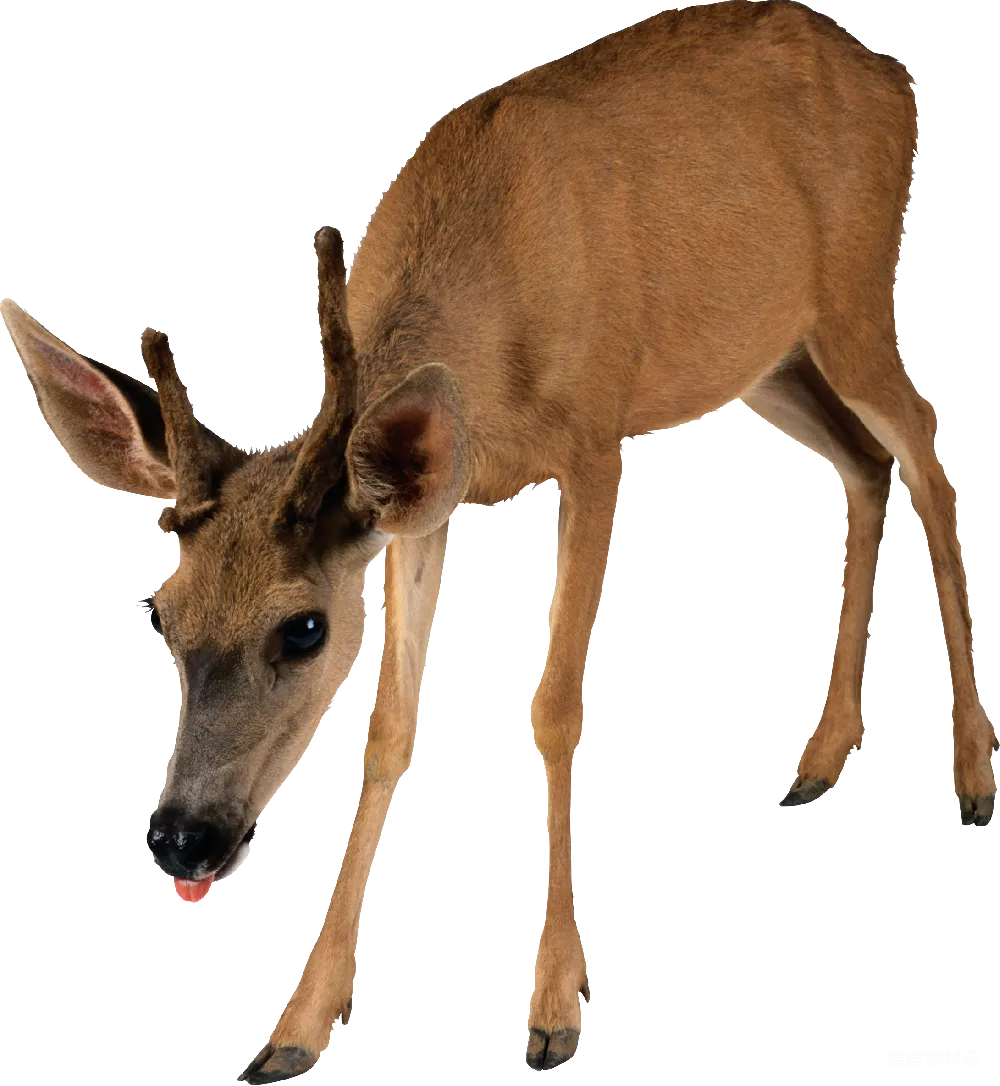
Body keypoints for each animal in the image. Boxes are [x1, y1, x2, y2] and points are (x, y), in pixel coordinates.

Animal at [3, 0, 996, 1079]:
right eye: (159, 615)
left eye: (302, 630)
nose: (181, 840)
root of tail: (889, 71)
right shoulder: (422, 512)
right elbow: (388, 730)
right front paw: (296, 1028)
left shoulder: (596, 437)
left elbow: (555, 705)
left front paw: (555, 1008)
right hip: (767, 354)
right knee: (866, 464)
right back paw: (820, 758)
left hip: (855, 300)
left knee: (928, 452)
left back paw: (973, 775)